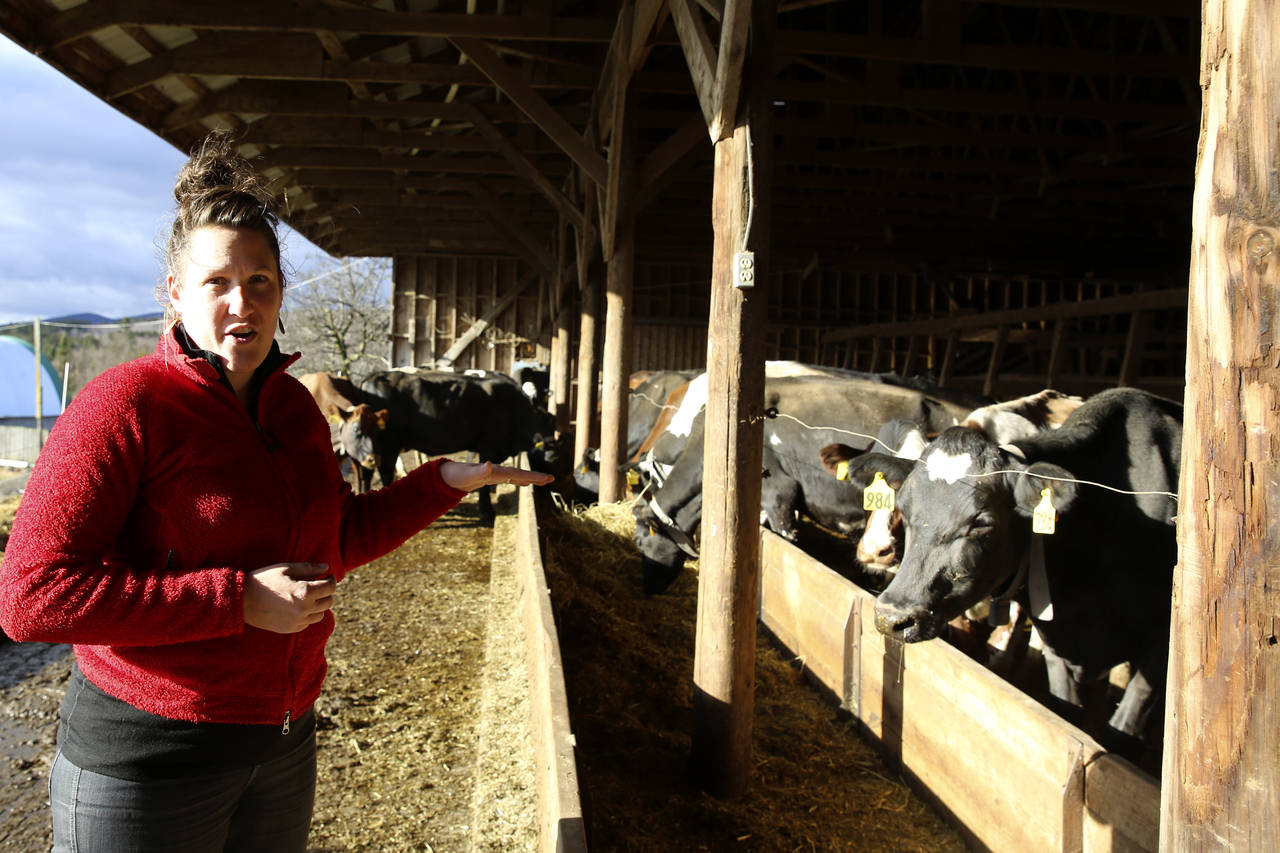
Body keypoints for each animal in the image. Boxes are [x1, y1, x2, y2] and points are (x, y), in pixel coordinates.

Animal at [363, 363, 558, 517]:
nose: (554, 457)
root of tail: (374, 376)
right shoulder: (489, 446)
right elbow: (484, 483)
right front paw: (486, 511)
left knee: (367, 471)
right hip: (389, 444)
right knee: (385, 473)